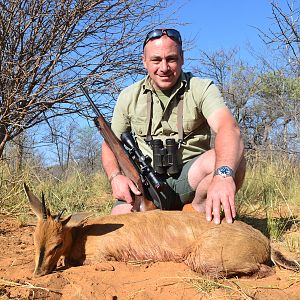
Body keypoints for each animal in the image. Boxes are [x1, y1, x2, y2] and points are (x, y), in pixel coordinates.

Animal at [24, 183, 298, 278]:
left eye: (57, 243)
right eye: (34, 239)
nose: (37, 273)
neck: (83, 234)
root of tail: (265, 241)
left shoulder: (101, 258)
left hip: (204, 260)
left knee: (265, 270)